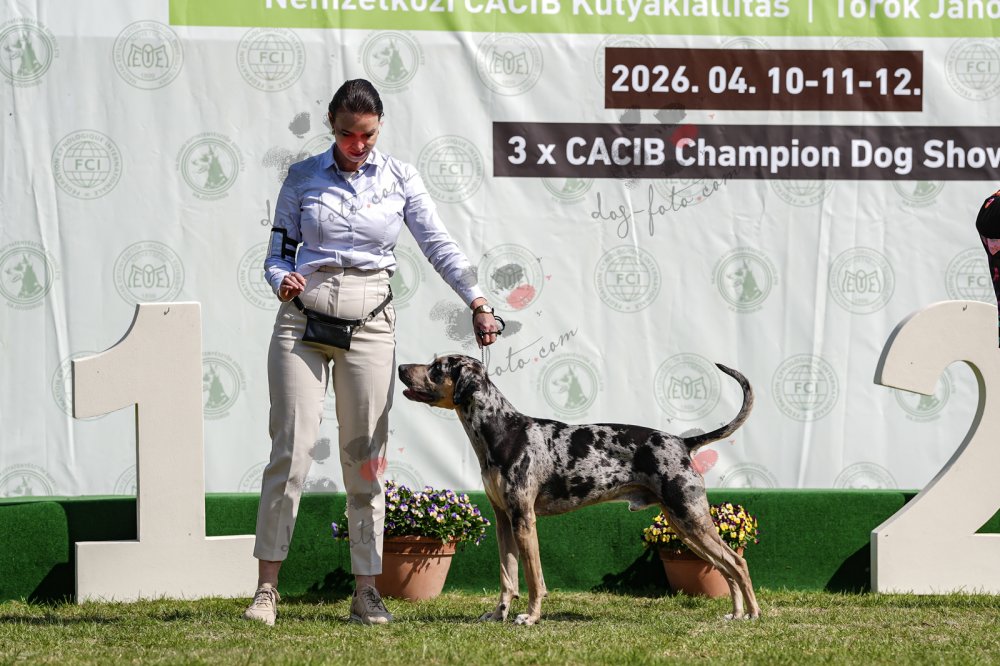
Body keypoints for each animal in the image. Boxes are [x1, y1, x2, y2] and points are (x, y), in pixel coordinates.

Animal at [398, 354, 759, 624]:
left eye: (436, 366)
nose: (400, 367)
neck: (501, 432)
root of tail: (683, 442)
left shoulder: (524, 519)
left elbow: (533, 579)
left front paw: (530, 618)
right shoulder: (503, 520)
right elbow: (507, 577)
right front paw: (499, 615)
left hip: (690, 518)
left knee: (737, 563)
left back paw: (753, 614)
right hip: (683, 526)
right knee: (725, 567)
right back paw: (735, 613)